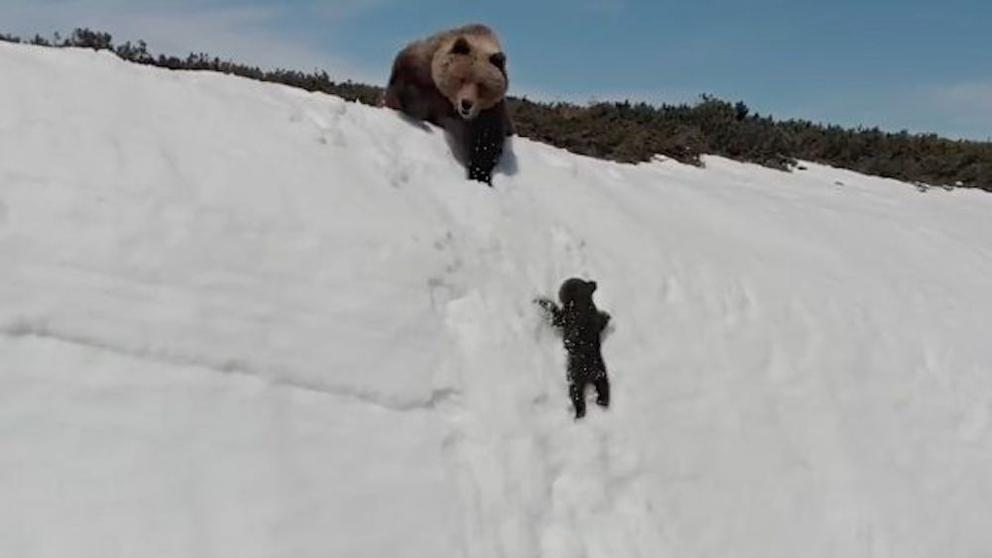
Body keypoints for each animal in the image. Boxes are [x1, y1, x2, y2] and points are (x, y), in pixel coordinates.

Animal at [384, 24, 516, 186]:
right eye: (462, 78)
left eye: (481, 85)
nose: (466, 104)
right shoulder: (424, 70)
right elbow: (407, 84)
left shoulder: (488, 111)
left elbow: (485, 141)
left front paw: (480, 175)